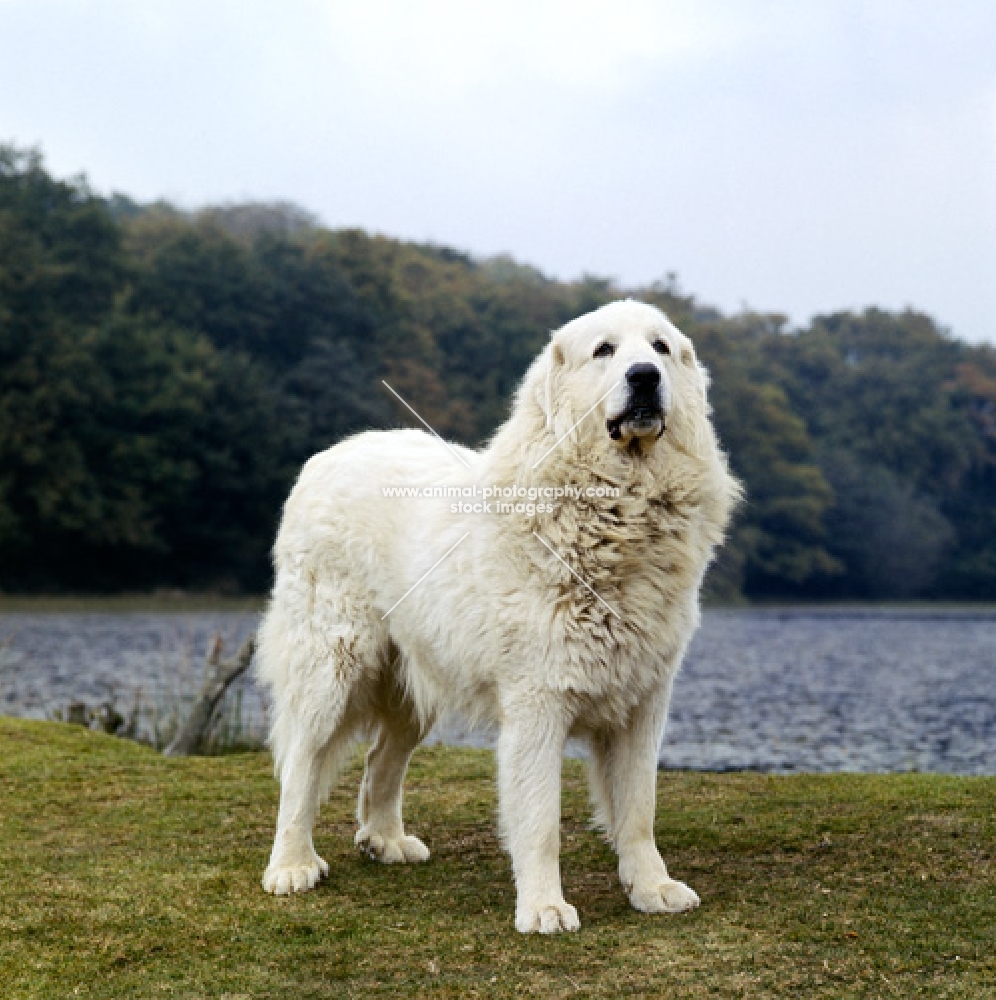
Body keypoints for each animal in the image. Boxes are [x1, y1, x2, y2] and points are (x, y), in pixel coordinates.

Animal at [256, 300, 740, 932]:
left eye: (660, 347)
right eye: (605, 351)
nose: (644, 377)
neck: (616, 510)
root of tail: (327, 456)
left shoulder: (643, 701)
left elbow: (639, 810)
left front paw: (652, 888)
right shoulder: (537, 704)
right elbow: (540, 822)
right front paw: (543, 907)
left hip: (416, 676)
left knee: (381, 757)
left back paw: (385, 840)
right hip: (331, 665)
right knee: (301, 766)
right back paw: (290, 866)